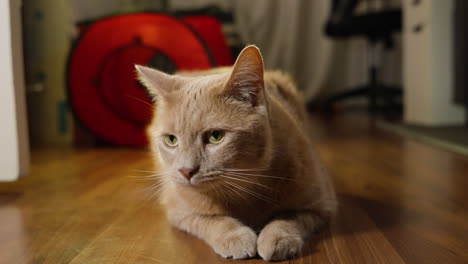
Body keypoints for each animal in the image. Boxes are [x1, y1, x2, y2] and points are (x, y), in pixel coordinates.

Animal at [135, 46, 336, 262]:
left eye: (215, 136)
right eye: (171, 140)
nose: (185, 171)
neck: (244, 188)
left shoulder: (322, 206)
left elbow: (289, 218)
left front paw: (278, 237)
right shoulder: (179, 211)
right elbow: (213, 221)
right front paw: (235, 237)